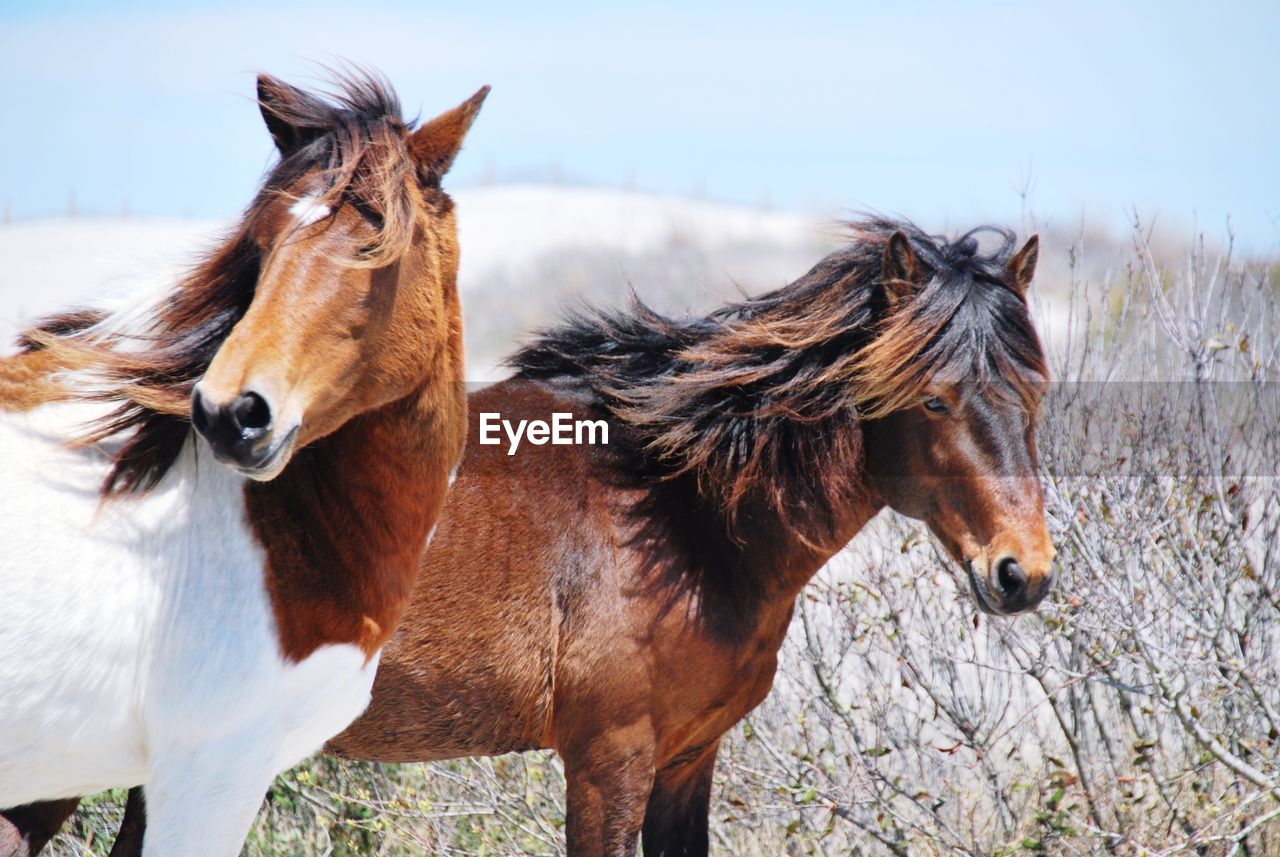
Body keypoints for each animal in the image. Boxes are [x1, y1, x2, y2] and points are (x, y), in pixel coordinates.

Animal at [15, 218, 1049, 854]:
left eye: (1034, 391)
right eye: (933, 397)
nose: (1022, 572)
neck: (671, 516)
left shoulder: (686, 763)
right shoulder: (608, 761)